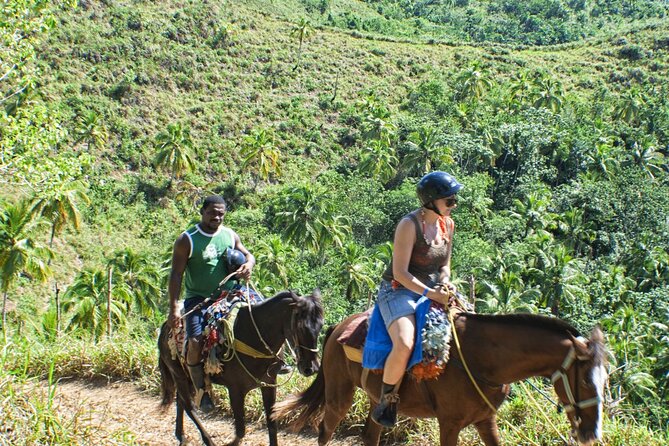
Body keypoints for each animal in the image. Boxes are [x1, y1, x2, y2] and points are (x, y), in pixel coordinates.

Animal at [157, 290, 324, 446]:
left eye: (320, 326)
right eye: (301, 327)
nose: (312, 368)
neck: (253, 336)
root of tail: (165, 326)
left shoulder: (269, 384)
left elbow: (271, 424)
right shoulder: (235, 390)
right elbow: (240, 430)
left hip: (187, 377)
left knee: (181, 400)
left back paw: (181, 435)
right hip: (178, 373)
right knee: (188, 405)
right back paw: (207, 439)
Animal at [274, 310, 608, 446]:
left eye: (604, 382)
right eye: (585, 381)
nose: (591, 432)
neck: (480, 358)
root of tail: (339, 328)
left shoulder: (485, 420)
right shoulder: (449, 423)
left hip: (375, 401)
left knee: (370, 436)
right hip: (339, 395)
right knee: (325, 430)